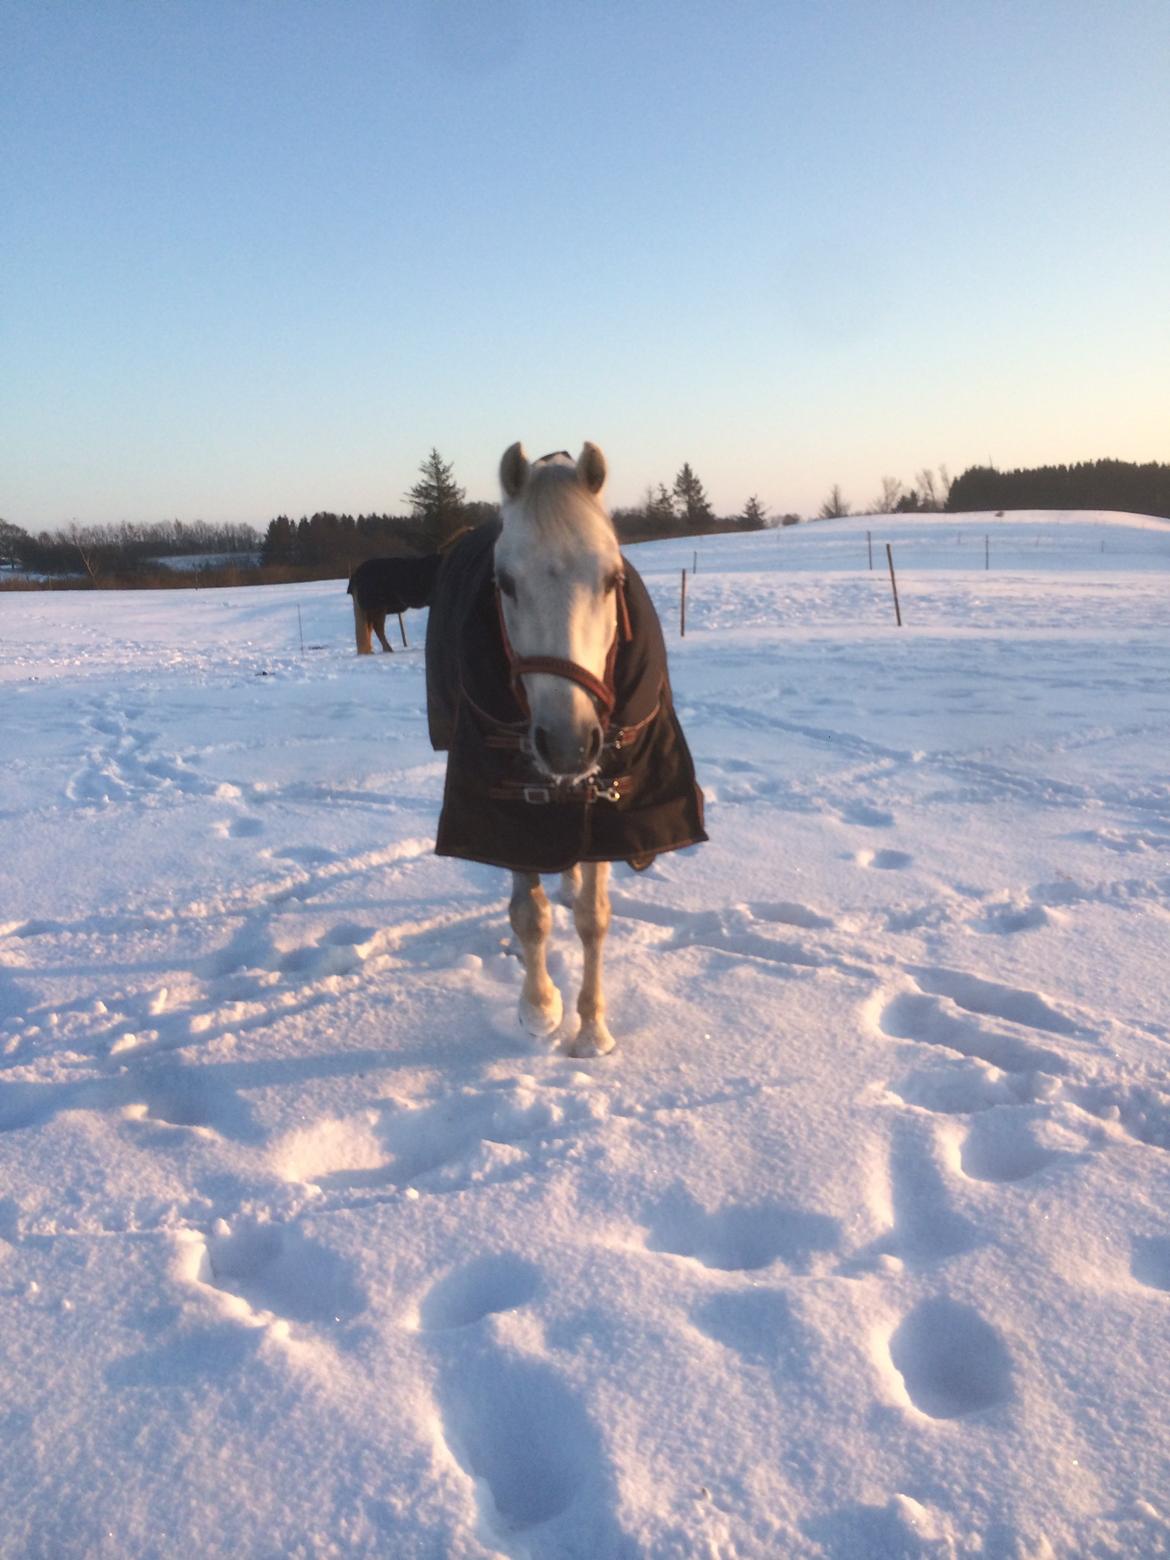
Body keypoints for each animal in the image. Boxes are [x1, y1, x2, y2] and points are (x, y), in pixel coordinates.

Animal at [425, 443, 706, 1056]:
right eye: (505, 583)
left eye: (612, 578)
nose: (568, 744)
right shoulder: (507, 806)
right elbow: (529, 915)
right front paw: (540, 1009)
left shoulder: (613, 804)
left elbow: (592, 917)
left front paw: (593, 1029)